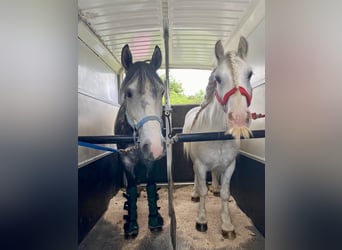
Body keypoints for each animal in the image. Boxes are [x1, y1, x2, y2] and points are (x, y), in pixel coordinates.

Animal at [183, 36, 252, 238]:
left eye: (250, 74)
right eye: (218, 78)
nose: (238, 118)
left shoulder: (230, 166)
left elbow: (225, 193)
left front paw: (227, 225)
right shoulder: (200, 165)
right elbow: (203, 191)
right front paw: (201, 220)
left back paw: (214, 187)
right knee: (197, 179)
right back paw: (194, 193)